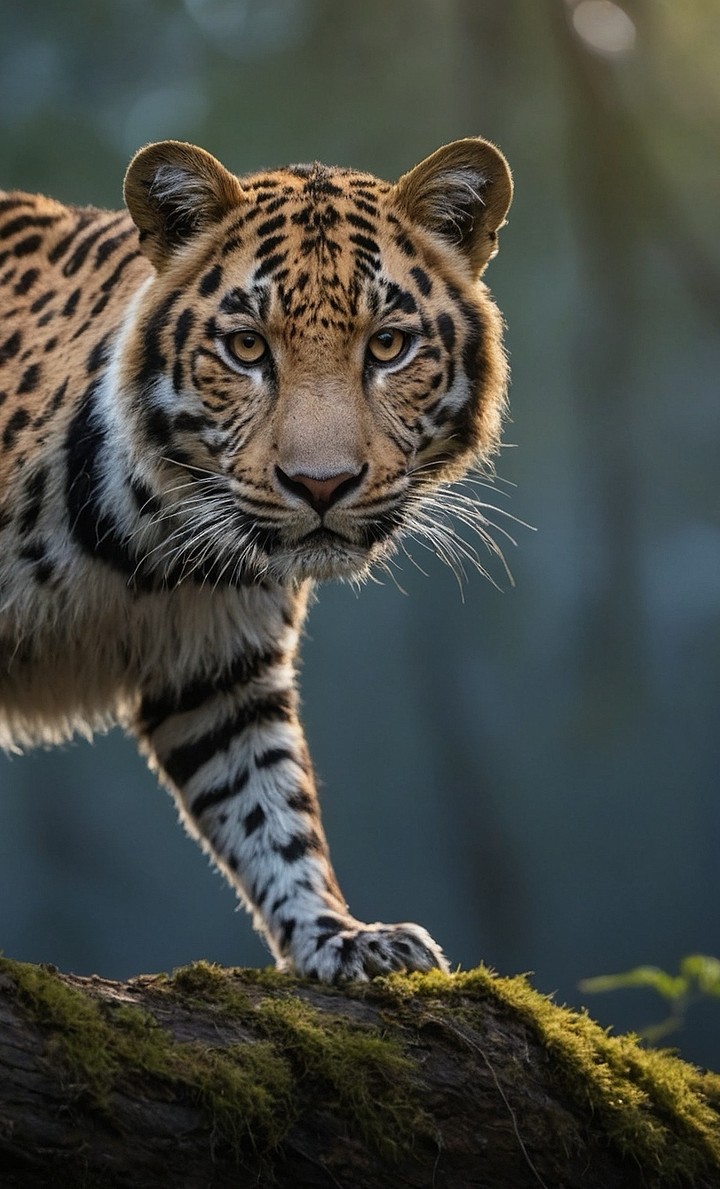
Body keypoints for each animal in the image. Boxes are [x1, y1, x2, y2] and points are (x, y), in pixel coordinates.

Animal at [0, 136, 512, 981]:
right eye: (246, 347)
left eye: (388, 345)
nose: (321, 484)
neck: (152, 544)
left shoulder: (220, 669)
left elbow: (270, 806)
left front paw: (339, 935)